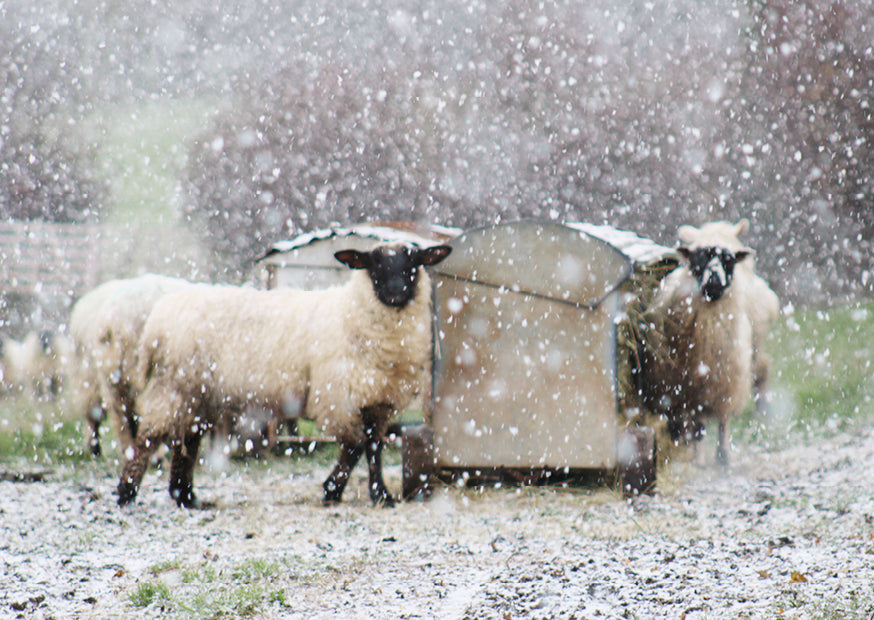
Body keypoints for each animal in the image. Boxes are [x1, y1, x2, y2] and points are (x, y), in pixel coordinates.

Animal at [116, 241, 452, 508]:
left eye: (413, 263)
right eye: (374, 264)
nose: (396, 292)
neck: (354, 314)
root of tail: (158, 319)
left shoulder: (377, 400)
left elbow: (373, 448)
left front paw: (380, 495)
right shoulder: (338, 395)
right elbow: (355, 446)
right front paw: (332, 491)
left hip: (197, 393)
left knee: (187, 440)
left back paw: (185, 497)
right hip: (173, 385)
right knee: (147, 439)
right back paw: (126, 495)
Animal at [637, 220, 769, 466]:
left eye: (728, 260)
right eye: (698, 258)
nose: (714, 282)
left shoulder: (725, 380)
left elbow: (723, 420)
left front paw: (723, 457)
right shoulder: (687, 387)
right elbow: (696, 426)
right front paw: (697, 459)